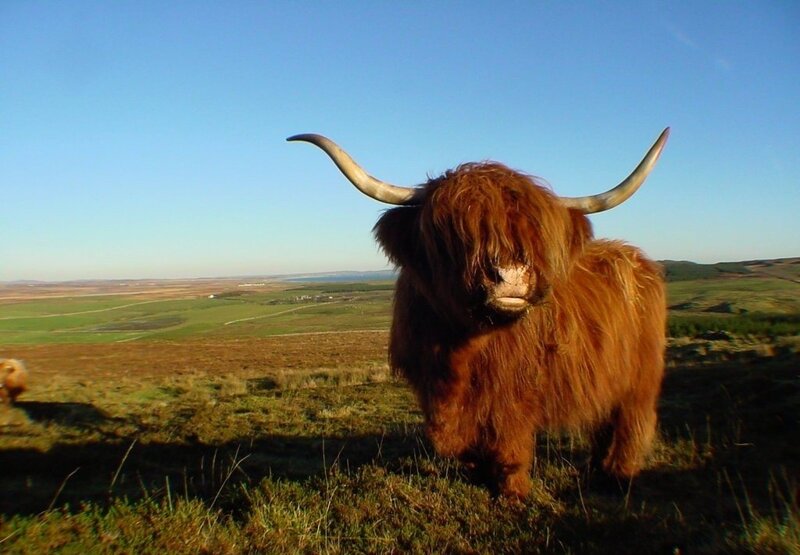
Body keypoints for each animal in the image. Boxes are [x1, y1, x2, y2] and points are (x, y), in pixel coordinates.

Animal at [289, 129, 669, 498]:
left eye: (535, 235)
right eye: (454, 232)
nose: (512, 276)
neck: (458, 349)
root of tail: (636, 258)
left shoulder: (516, 393)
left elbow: (510, 443)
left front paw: (513, 493)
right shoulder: (433, 390)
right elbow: (464, 445)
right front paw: (480, 474)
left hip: (640, 380)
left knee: (631, 423)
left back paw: (618, 476)